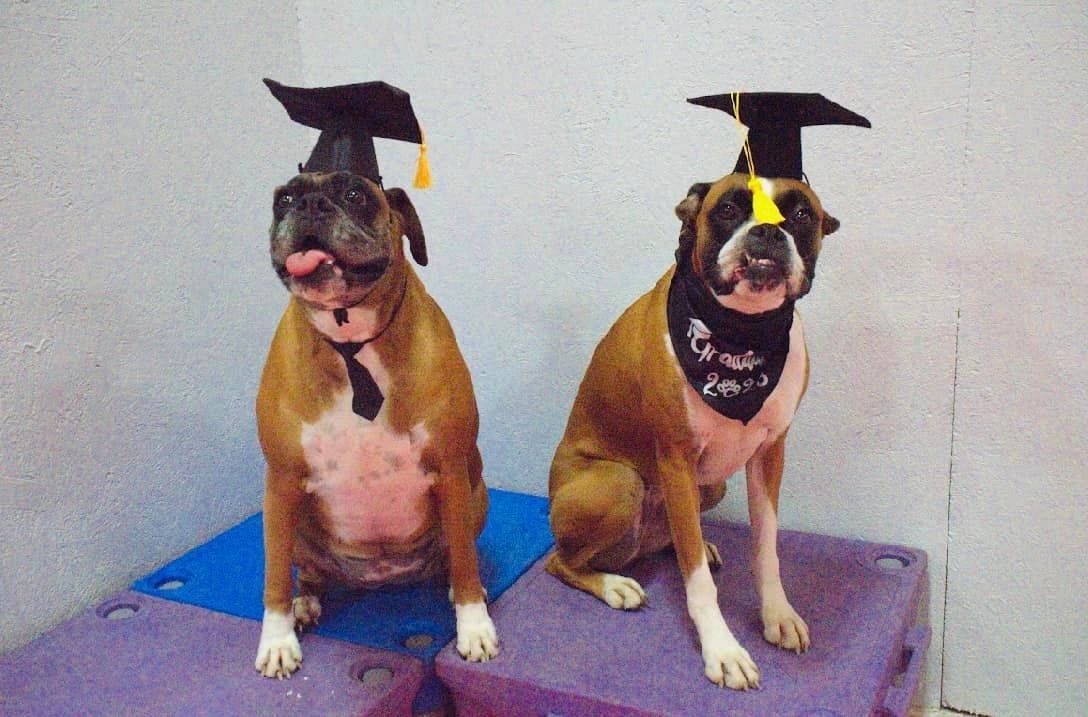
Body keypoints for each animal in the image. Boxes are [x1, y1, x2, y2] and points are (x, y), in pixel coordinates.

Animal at [252, 168, 496, 678]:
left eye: (354, 194)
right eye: (283, 199)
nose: (310, 205)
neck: (351, 343)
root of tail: (381, 577)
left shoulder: (450, 470)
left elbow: (465, 561)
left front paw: (474, 626)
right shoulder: (281, 481)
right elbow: (275, 576)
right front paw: (277, 640)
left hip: (474, 496)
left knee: (456, 555)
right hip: (293, 522)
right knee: (308, 573)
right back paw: (306, 602)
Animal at [544, 174, 839, 691]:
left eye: (801, 213)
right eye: (729, 208)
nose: (767, 231)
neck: (743, 331)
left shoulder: (770, 454)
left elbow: (767, 548)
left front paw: (776, 614)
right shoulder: (677, 459)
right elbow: (698, 583)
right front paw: (722, 649)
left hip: (710, 485)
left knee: (678, 541)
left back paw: (696, 543)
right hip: (620, 482)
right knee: (562, 561)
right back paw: (614, 584)